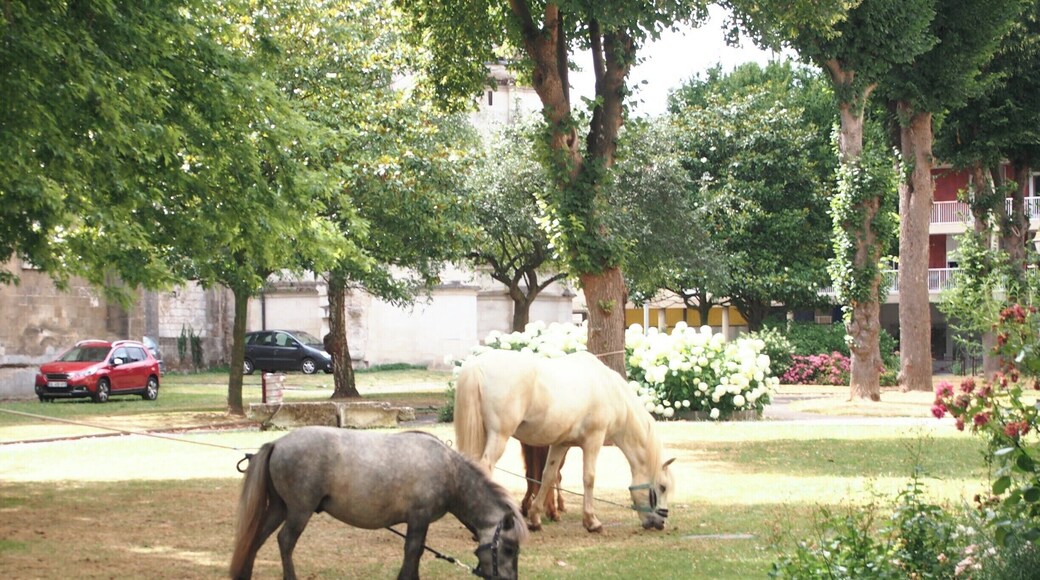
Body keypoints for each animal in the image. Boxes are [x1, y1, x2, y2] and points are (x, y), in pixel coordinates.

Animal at [229, 427, 526, 580]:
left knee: (256, 538)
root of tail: (278, 443)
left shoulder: (421, 522)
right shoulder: (418, 519)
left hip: (280, 508)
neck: (449, 471)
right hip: (299, 511)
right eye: (509, 549)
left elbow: (416, 554)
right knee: (285, 542)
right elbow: (412, 553)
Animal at [454, 349, 675, 533]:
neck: (609, 390)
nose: (661, 523)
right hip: (499, 436)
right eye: (663, 487)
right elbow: (589, 478)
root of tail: (476, 365)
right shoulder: (593, 440)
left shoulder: (560, 444)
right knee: (485, 467)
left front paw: (535, 518)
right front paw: (591, 521)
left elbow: (548, 476)